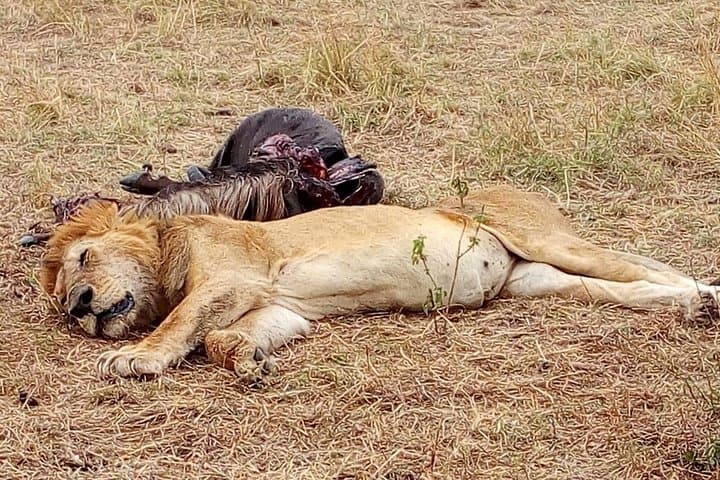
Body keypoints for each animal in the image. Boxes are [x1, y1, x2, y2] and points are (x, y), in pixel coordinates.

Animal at [38, 184, 719, 381]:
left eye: (84, 259)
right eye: (64, 301)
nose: (80, 307)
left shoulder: (233, 275)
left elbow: (185, 326)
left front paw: (135, 357)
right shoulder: (277, 304)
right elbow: (219, 338)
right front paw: (251, 361)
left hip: (546, 238)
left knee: (645, 264)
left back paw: (704, 295)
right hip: (536, 280)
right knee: (626, 289)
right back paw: (689, 305)